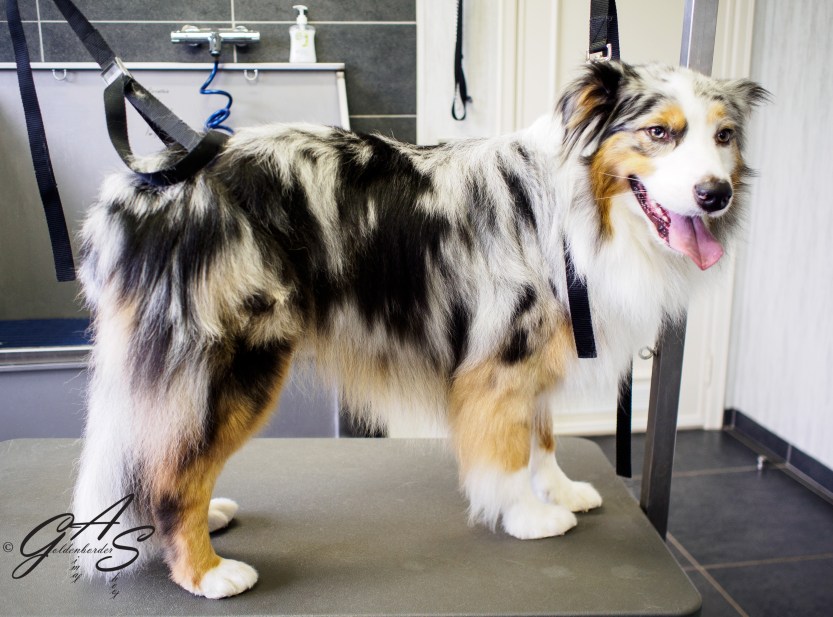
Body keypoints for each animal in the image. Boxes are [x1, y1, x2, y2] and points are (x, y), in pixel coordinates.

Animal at [72, 61, 767, 598]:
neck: (577, 207)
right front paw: (527, 516)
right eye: (659, 132)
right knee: (171, 472)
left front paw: (561, 493)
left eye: (725, 136)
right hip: (234, 360)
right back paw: (207, 573)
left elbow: (541, 437)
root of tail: (142, 188)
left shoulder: (540, 349)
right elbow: (508, 450)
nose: (716, 194)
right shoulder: (501, 359)